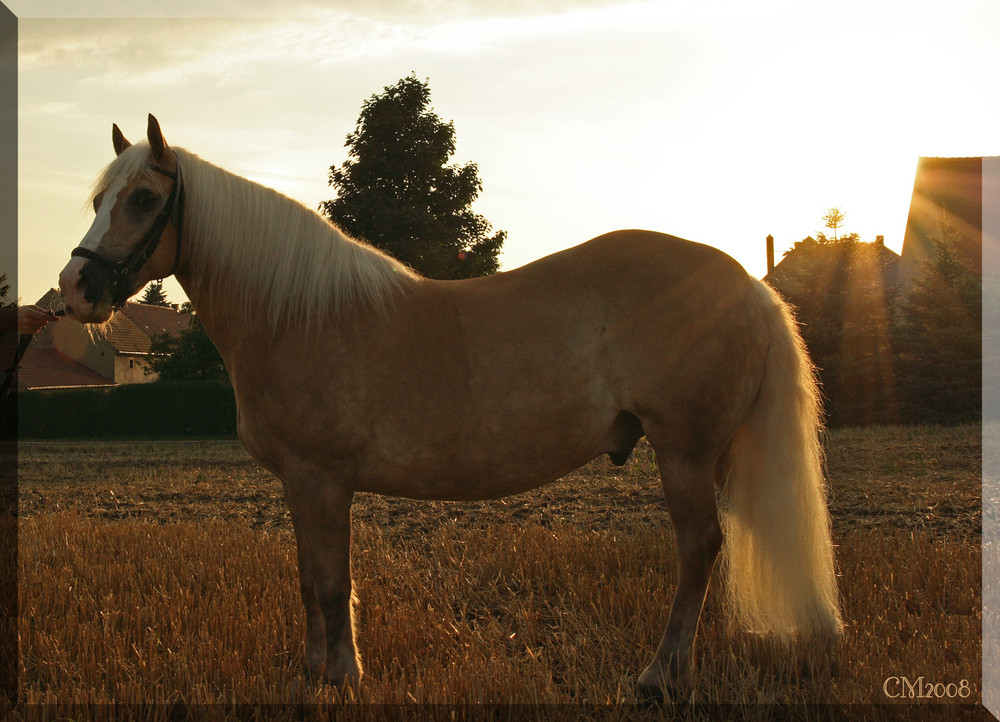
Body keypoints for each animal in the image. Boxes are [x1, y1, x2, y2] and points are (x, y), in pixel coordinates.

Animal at [58, 114, 840, 696]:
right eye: (97, 201)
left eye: (143, 200)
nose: (75, 289)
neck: (298, 315)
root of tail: (748, 284)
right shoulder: (303, 485)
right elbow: (310, 580)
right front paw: (314, 673)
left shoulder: (321, 479)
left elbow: (330, 582)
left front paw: (341, 677)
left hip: (685, 451)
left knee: (699, 549)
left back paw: (660, 677)